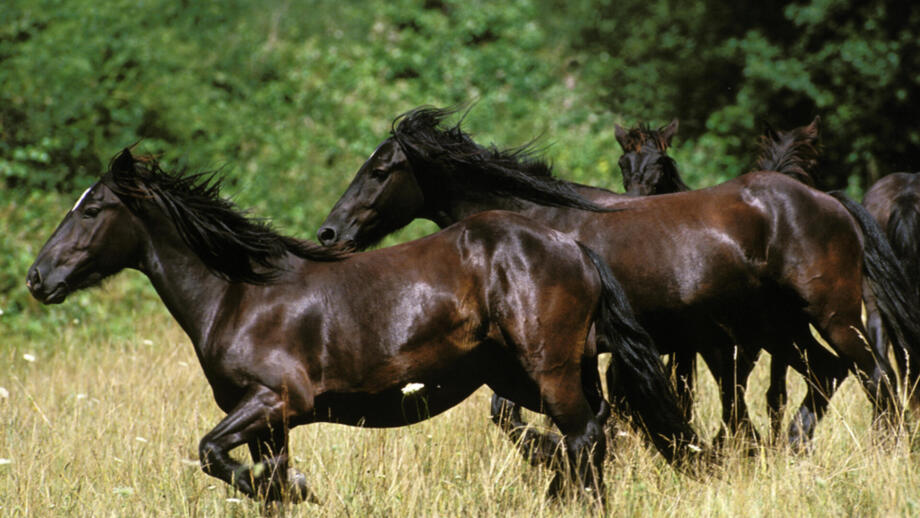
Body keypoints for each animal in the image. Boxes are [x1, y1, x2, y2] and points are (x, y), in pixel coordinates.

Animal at [25, 148, 705, 503]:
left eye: (92, 208)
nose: (37, 278)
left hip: (551, 372)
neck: (238, 295)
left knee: (584, 438)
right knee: (593, 435)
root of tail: (574, 247)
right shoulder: (271, 425)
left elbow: (213, 453)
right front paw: (292, 488)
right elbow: (260, 481)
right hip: (542, 375)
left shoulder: (275, 400)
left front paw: (304, 488)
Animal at [317, 107, 920, 449]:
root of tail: (830, 201)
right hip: (775, 329)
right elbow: (519, 416)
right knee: (827, 375)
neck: (539, 221)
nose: (328, 233)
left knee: (877, 379)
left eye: (380, 170)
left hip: (832, 316)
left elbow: (523, 418)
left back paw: (883, 451)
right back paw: (791, 446)